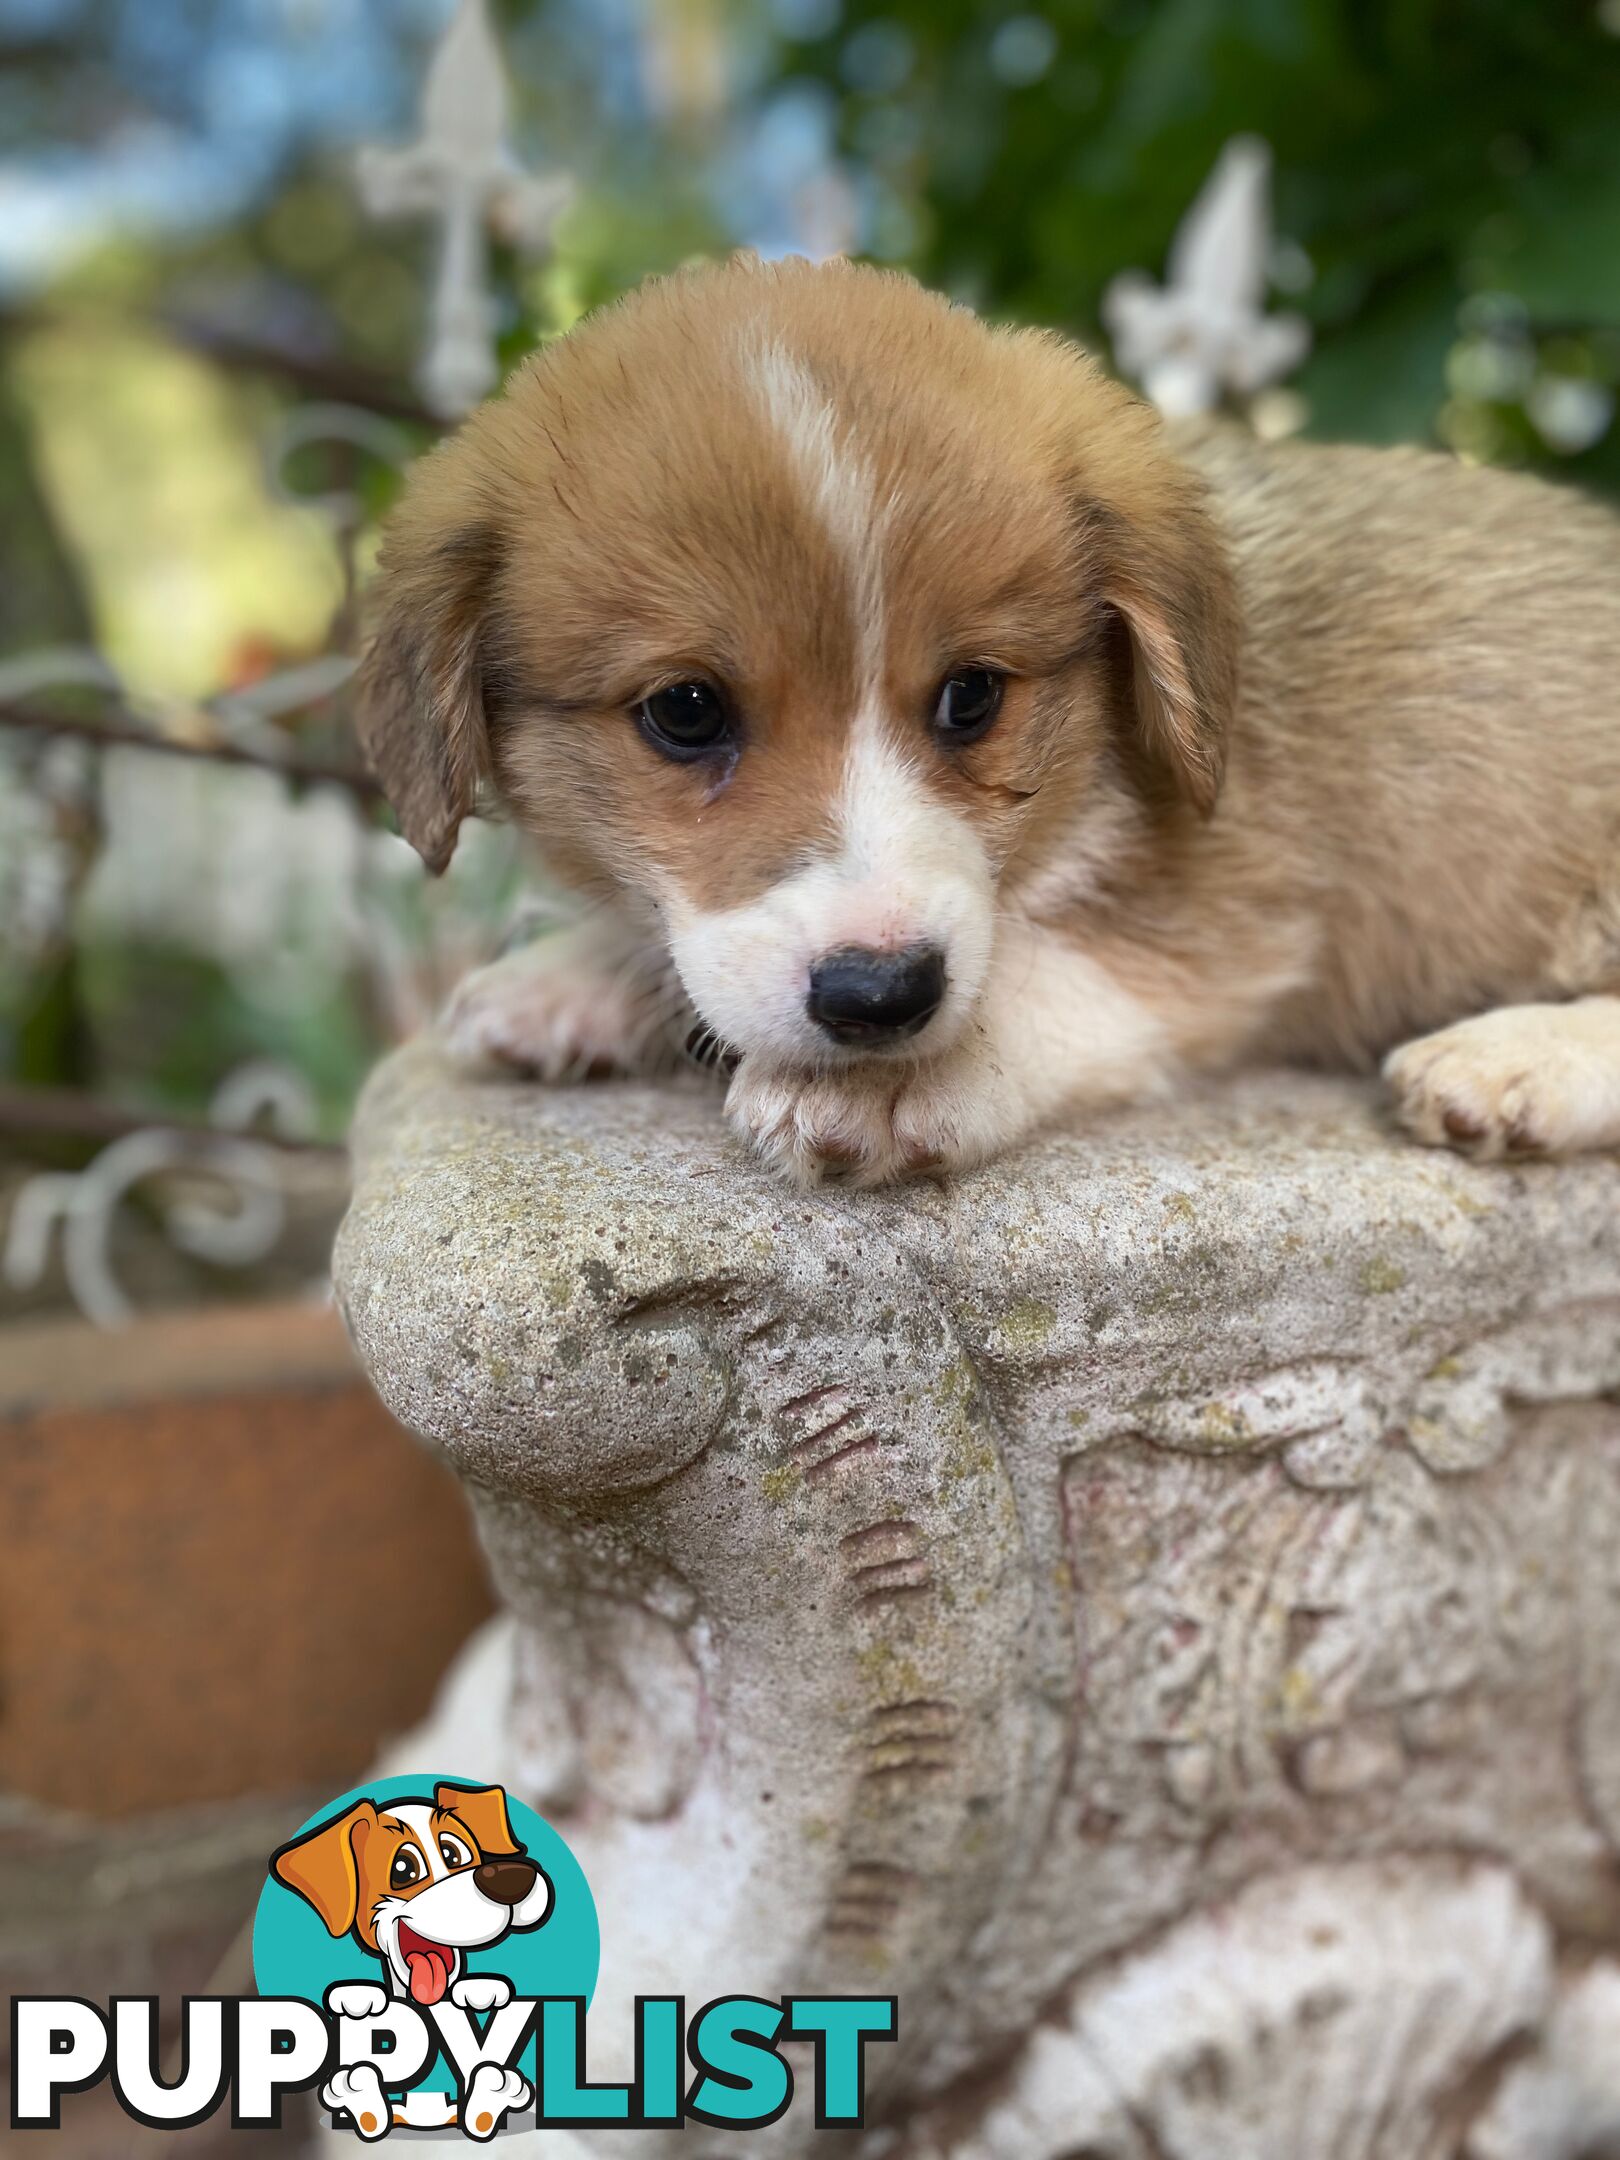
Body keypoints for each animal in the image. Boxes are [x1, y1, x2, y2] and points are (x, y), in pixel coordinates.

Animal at [358, 265, 1620, 1200]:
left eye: (973, 695)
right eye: (685, 711)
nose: (882, 1002)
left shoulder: (1235, 912)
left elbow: (1051, 970)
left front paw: (911, 1072)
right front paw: (567, 979)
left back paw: (1512, 1058)